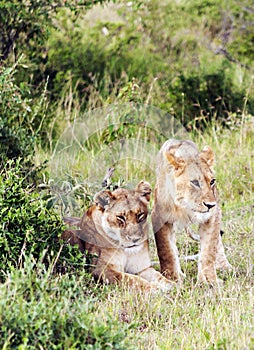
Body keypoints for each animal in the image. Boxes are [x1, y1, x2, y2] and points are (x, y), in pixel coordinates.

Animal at [152, 139, 231, 284]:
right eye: (195, 182)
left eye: (212, 181)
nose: (210, 205)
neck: (186, 206)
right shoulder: (159, 216)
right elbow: (166, 251)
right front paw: (173, 278)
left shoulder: (213, 215)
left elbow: (209, 249)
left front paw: (209, 280)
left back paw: (225, 267)